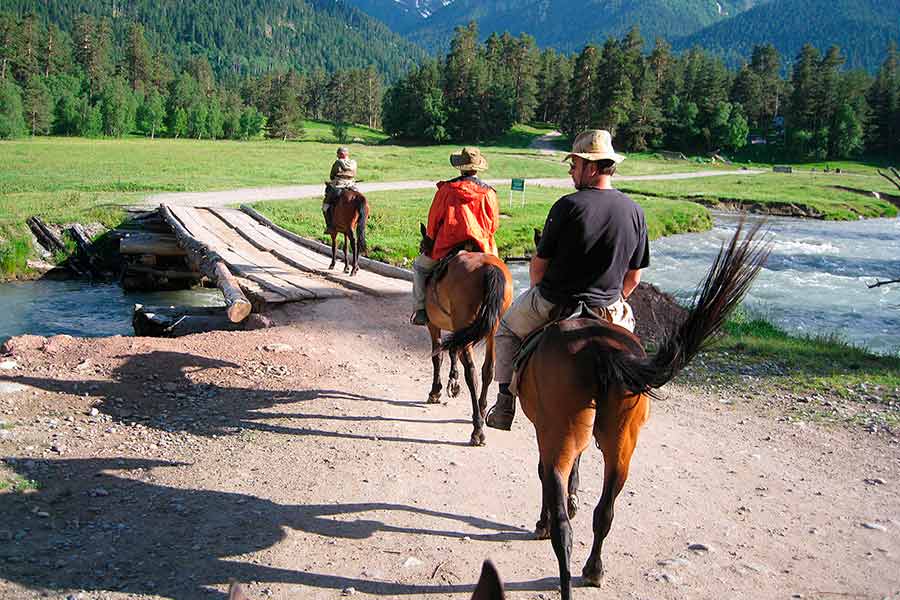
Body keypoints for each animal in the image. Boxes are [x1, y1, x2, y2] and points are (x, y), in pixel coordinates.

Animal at [419, 223, 514, 446]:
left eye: (422, 246)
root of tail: (489, 269)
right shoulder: (458, 330)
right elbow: (452, 351)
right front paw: (452, 382)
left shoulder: (433, 325)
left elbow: (438, 356)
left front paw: (436, 390)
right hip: (492, 329)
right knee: (488, 370)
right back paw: (481, 410)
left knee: (471, 372)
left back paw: (477, 429)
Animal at [516, 219, 769, 600]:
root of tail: (598, 345)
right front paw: (574, 497)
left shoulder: (543, 432)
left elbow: (546, 476)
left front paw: (549, 515)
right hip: (622, 442)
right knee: (605, 511)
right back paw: (594, 569)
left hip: (563, 434)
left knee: (564, 522)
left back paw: (561, 553)